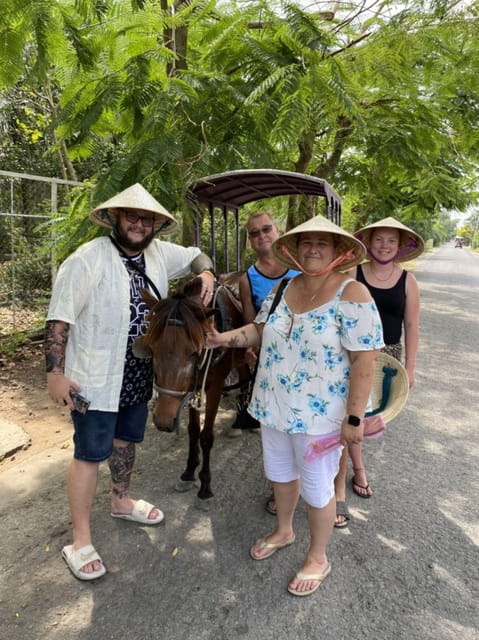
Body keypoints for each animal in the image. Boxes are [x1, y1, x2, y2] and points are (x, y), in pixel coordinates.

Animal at [139, 274, 248, 500]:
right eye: (152, 348)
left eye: (194, 351)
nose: (163, 421)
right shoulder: (191, 388)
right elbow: (192, 431)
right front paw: (189, 471)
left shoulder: (215, 387)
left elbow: (206, 437)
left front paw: (205, 484)